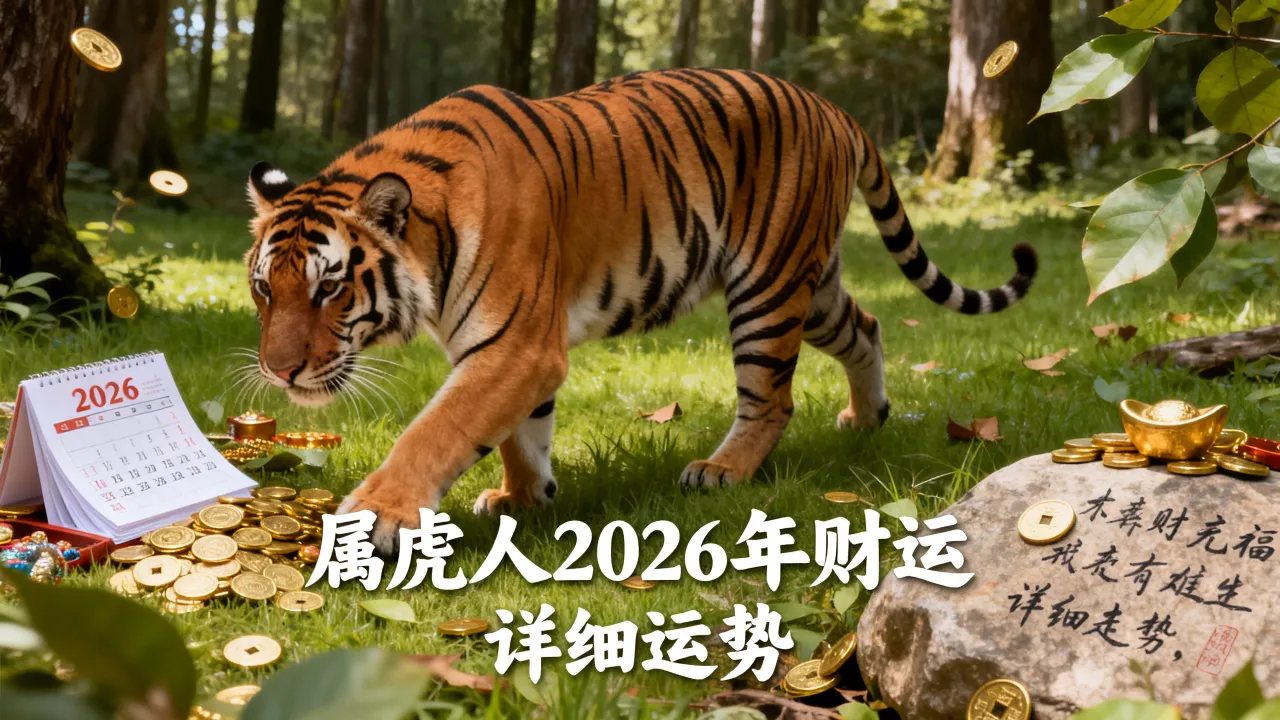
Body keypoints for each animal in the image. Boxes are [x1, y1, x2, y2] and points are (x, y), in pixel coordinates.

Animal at [244, 68, 1036, 552]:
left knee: (771, 397)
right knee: (866, 327)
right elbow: (519, 433)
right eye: (264, 290)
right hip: (812, 286)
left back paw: (721, 470)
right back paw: (865, 418)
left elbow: (439, 429)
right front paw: (525, 497)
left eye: (328, 288)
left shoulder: (515, 343)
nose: (280, 373)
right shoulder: (515, 349)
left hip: (768, 285)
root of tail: (832, 107)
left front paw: (377, 515)